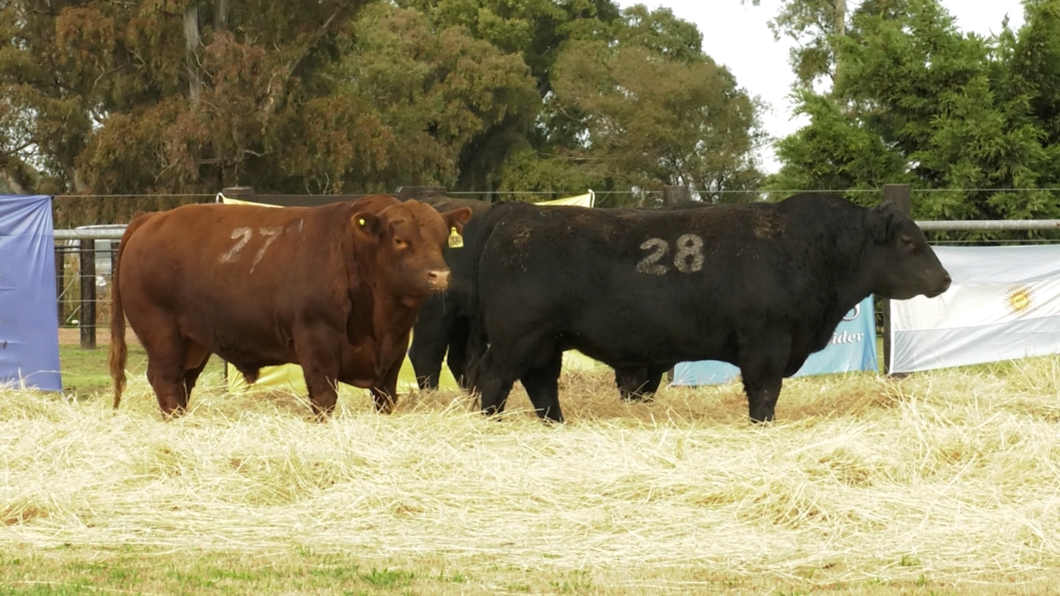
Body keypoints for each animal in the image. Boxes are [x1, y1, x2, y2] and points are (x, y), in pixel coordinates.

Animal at [464, 193, 953, 419]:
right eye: (908, 241)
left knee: (541, 384)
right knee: (493, 377)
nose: (946, 279)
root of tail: (515, 212)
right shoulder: (766, 345)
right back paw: (492, 423)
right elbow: (764, 394)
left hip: (545, 341)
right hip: (516, 337)